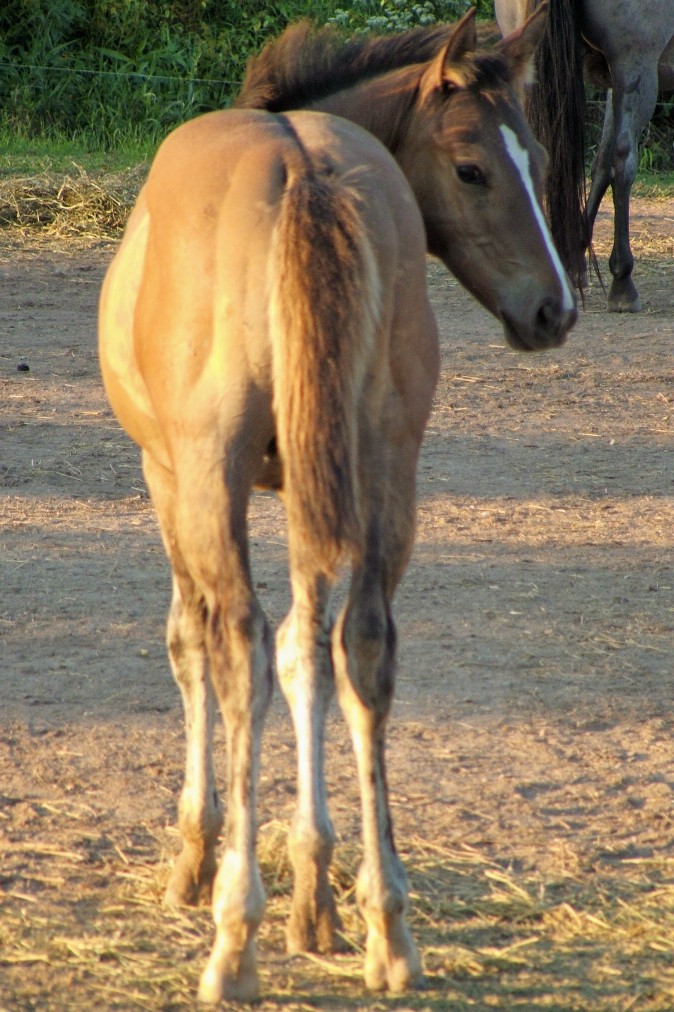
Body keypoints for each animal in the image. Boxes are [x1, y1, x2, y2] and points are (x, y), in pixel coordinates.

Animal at [98, 8, 575, 1003]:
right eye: (474, 168)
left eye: (537, 160)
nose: (556, 309)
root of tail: (303, 170)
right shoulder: (314, 486)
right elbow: (308, 656)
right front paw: (317, 894)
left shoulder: (168, 474)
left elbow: (197, 646)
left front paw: (198, 855)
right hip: (388, 463)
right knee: (364, 646)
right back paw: (387, 929)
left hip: (210, 475)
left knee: (236, 647)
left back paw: (233, 935)